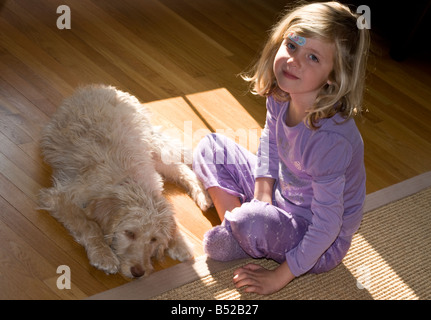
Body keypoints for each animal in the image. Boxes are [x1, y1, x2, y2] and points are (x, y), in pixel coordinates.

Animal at [38, 85, 211, 278]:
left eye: (153, 239)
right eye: (129, 233)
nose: (138, 273)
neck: (128, 181)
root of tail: (102, 87)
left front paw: (178, 241)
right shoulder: (59, 198)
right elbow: (88, 225)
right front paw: (103, 254)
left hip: (155, 147)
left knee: (185, 163)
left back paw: (204, 194)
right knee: (181, 166)